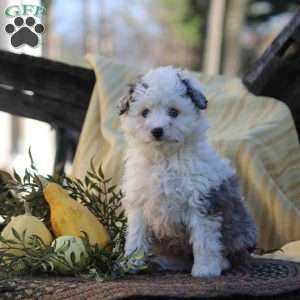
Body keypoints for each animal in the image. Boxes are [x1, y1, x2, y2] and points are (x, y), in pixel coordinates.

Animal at [117, 65, 255, 276]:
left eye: (173, 112)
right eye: (145, 112)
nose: (157, 131)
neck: (165, 159)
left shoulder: (201, 202)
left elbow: (204, 241)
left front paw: (205, 269)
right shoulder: (139, 203)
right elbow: (136, 236)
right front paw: (131, 263)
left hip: (239, 230)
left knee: (237, 254)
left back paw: (222, 263)